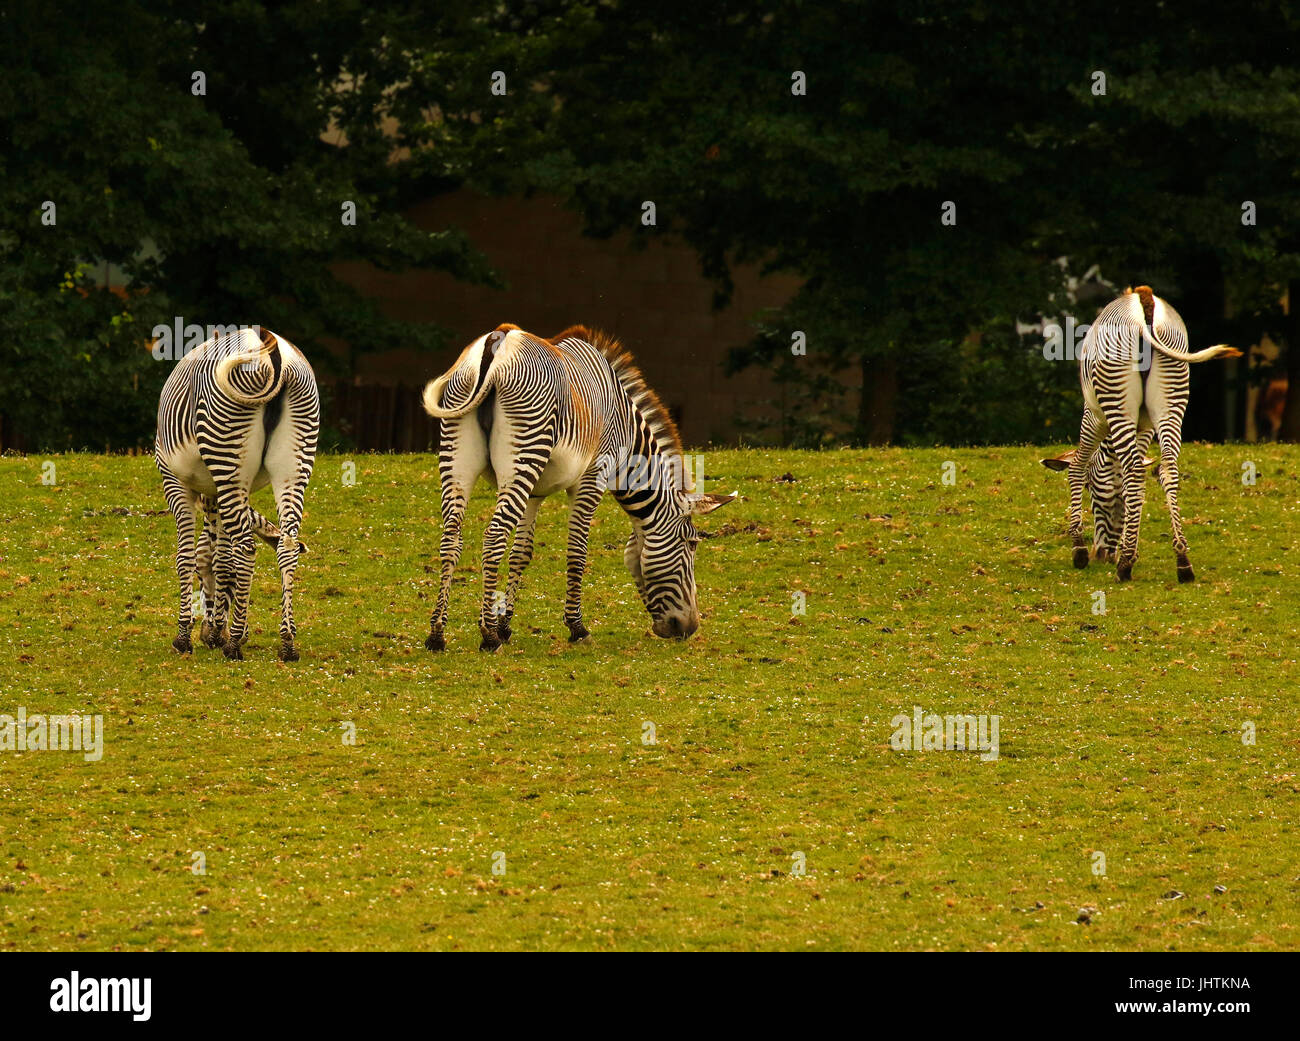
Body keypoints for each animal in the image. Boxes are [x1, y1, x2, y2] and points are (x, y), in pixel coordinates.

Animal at [154, 327, 319, 657]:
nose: (206, 634)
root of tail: (273, 352)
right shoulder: (219, 494)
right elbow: (218, 558)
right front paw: (218, 629)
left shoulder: (176, 482)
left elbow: (189, 557)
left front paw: (188, 636)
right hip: (294, 464)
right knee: (287, 545)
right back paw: (287, 642)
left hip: (226, 450)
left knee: (246, 547)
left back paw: (232, 646)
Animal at [421, 324, 738, 649]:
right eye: (692, 543)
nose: (689, 628)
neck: (627, 434)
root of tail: (499, 341)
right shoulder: (593, 476)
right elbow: (577, 551)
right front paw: (576, 628)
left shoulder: (534, 493)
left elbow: (521, 553)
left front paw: (506, 626)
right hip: (525, 452)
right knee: (494, 536)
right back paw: (488, 635)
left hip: (459, 456)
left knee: (451, 538)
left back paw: (437, 633)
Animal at [1066, 288, 1237, 579]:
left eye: (1092, 489)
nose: (1102, 555)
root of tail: (1144, 302)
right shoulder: (1145, 426)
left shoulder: (1094, 416)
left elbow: (1077, 465)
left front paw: (1079, 548)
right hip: (1172, 399)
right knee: (1167, 469)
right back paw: (1182, 562)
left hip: (1116, 400)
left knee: (1134, 470)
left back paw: (1125, 566)